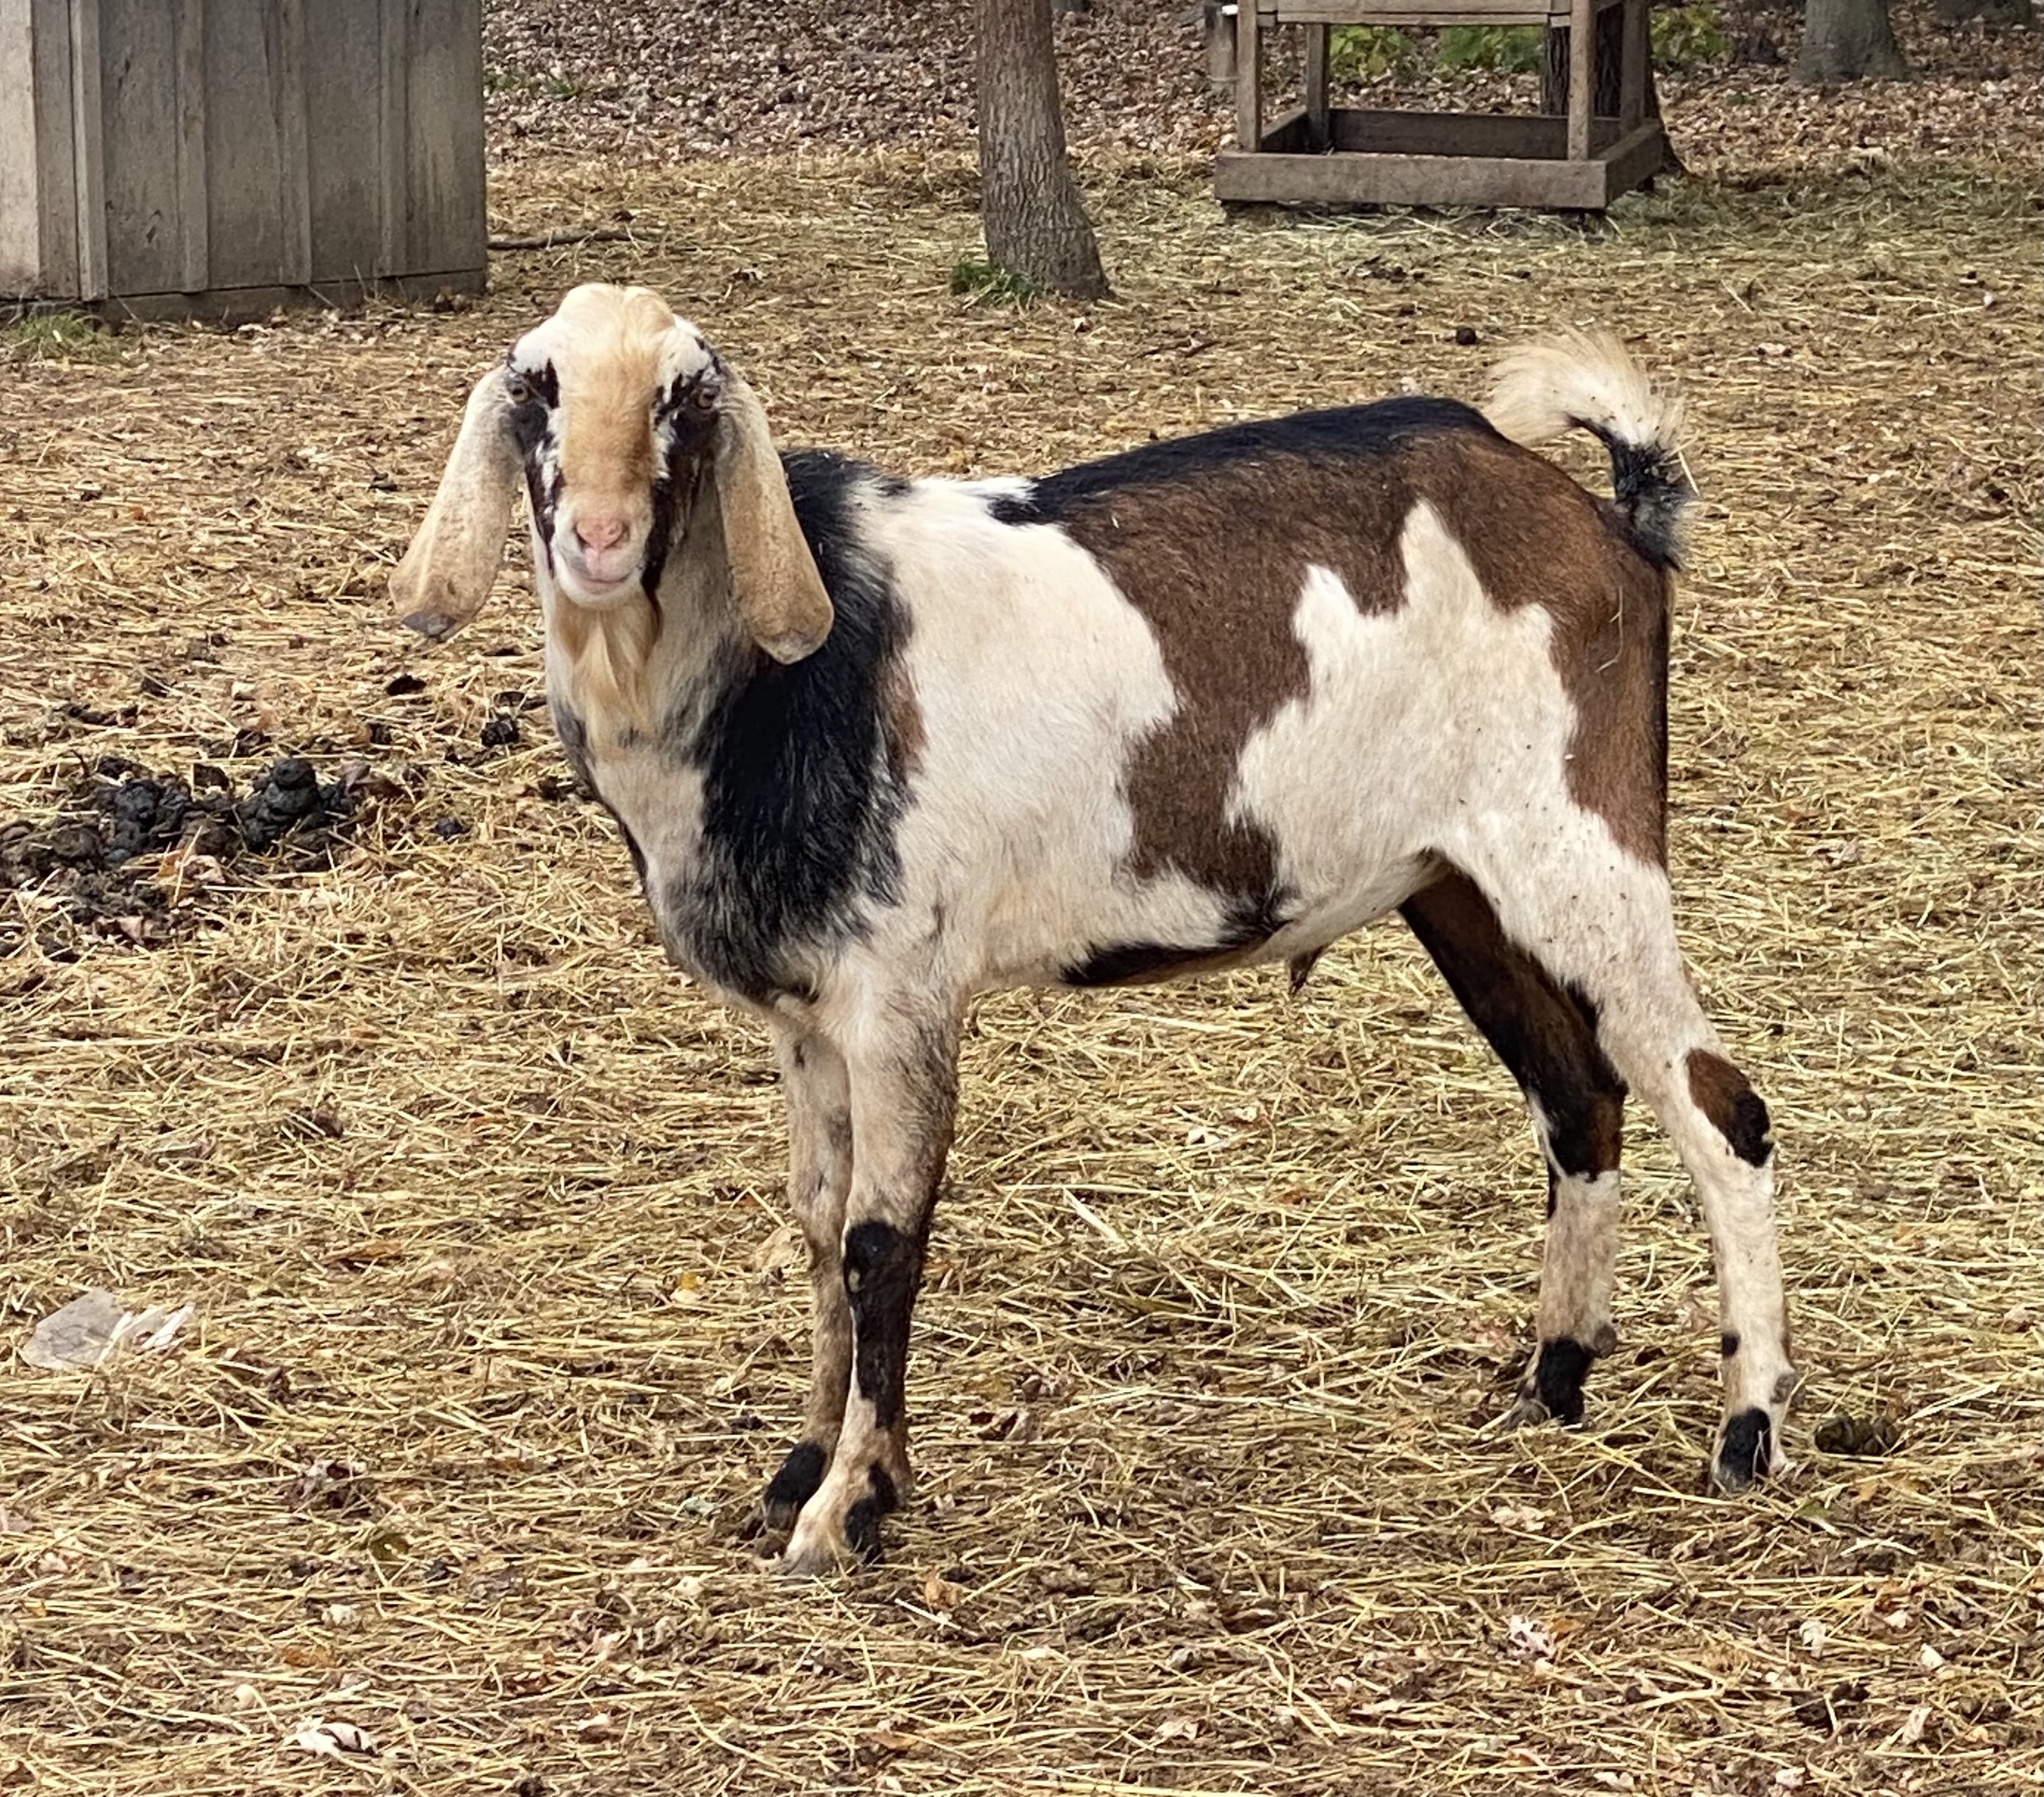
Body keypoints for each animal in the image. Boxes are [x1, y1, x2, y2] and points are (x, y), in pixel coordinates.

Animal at [392, 283, 1795, 1573]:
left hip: (1580, 843)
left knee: (1718, 1106)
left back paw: (1746, 1432)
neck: (780, 683)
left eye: (686, 396)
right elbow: (816, 1222)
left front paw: (851, 1507)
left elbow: (879, 1242)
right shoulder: (805, 1016)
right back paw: (1551, 1381)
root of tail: (1609, 524)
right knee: (1577, 1097)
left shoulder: (901, 993)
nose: (601, 536)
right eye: (535, 386)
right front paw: (799, 1466)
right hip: (1455, 882)